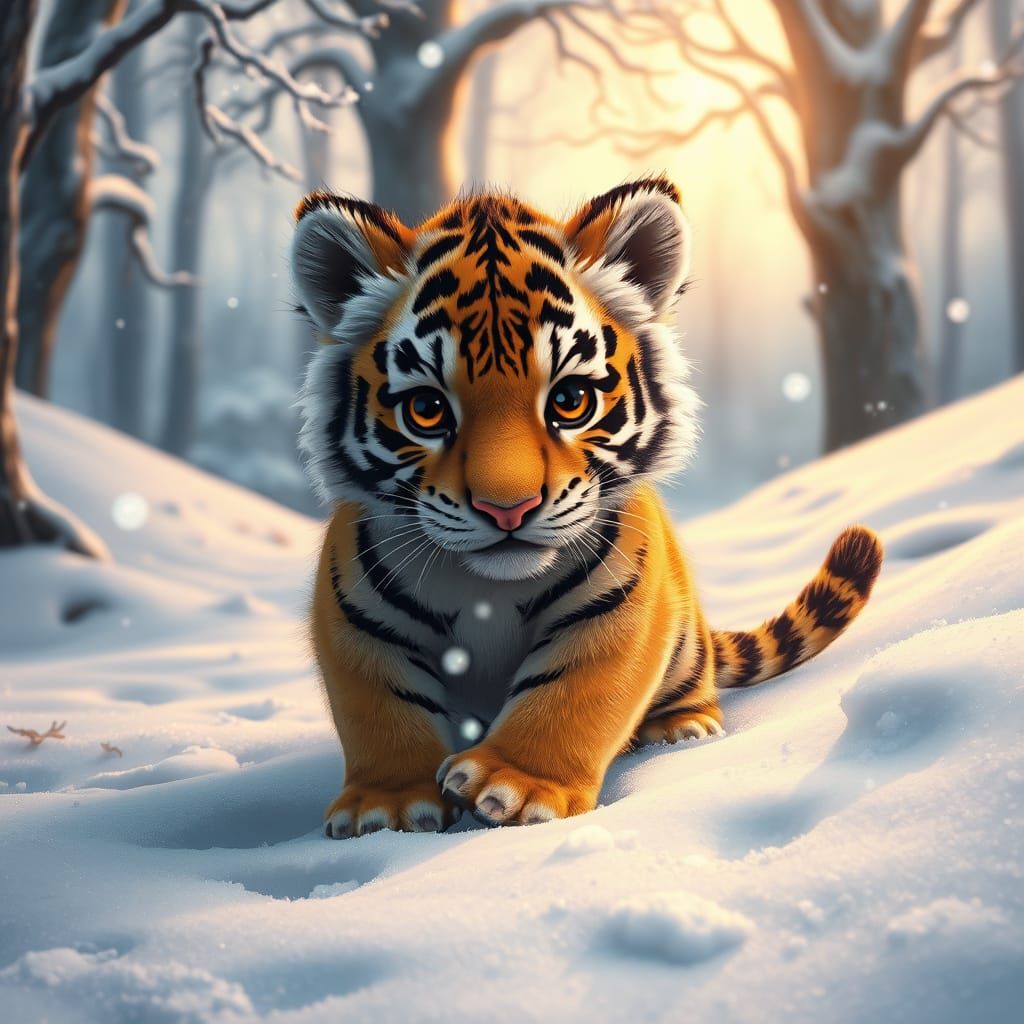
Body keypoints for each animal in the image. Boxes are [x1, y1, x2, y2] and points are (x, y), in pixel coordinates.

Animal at [291, 177, 883, 838]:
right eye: (426, 410)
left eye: (570, 400)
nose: (508, 508)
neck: (487, 591)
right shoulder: (354, 620)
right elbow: (381, 706)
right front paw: (389, 808)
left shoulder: (621, 607)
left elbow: (575, 693)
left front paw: (515, 786)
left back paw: (681, 726)